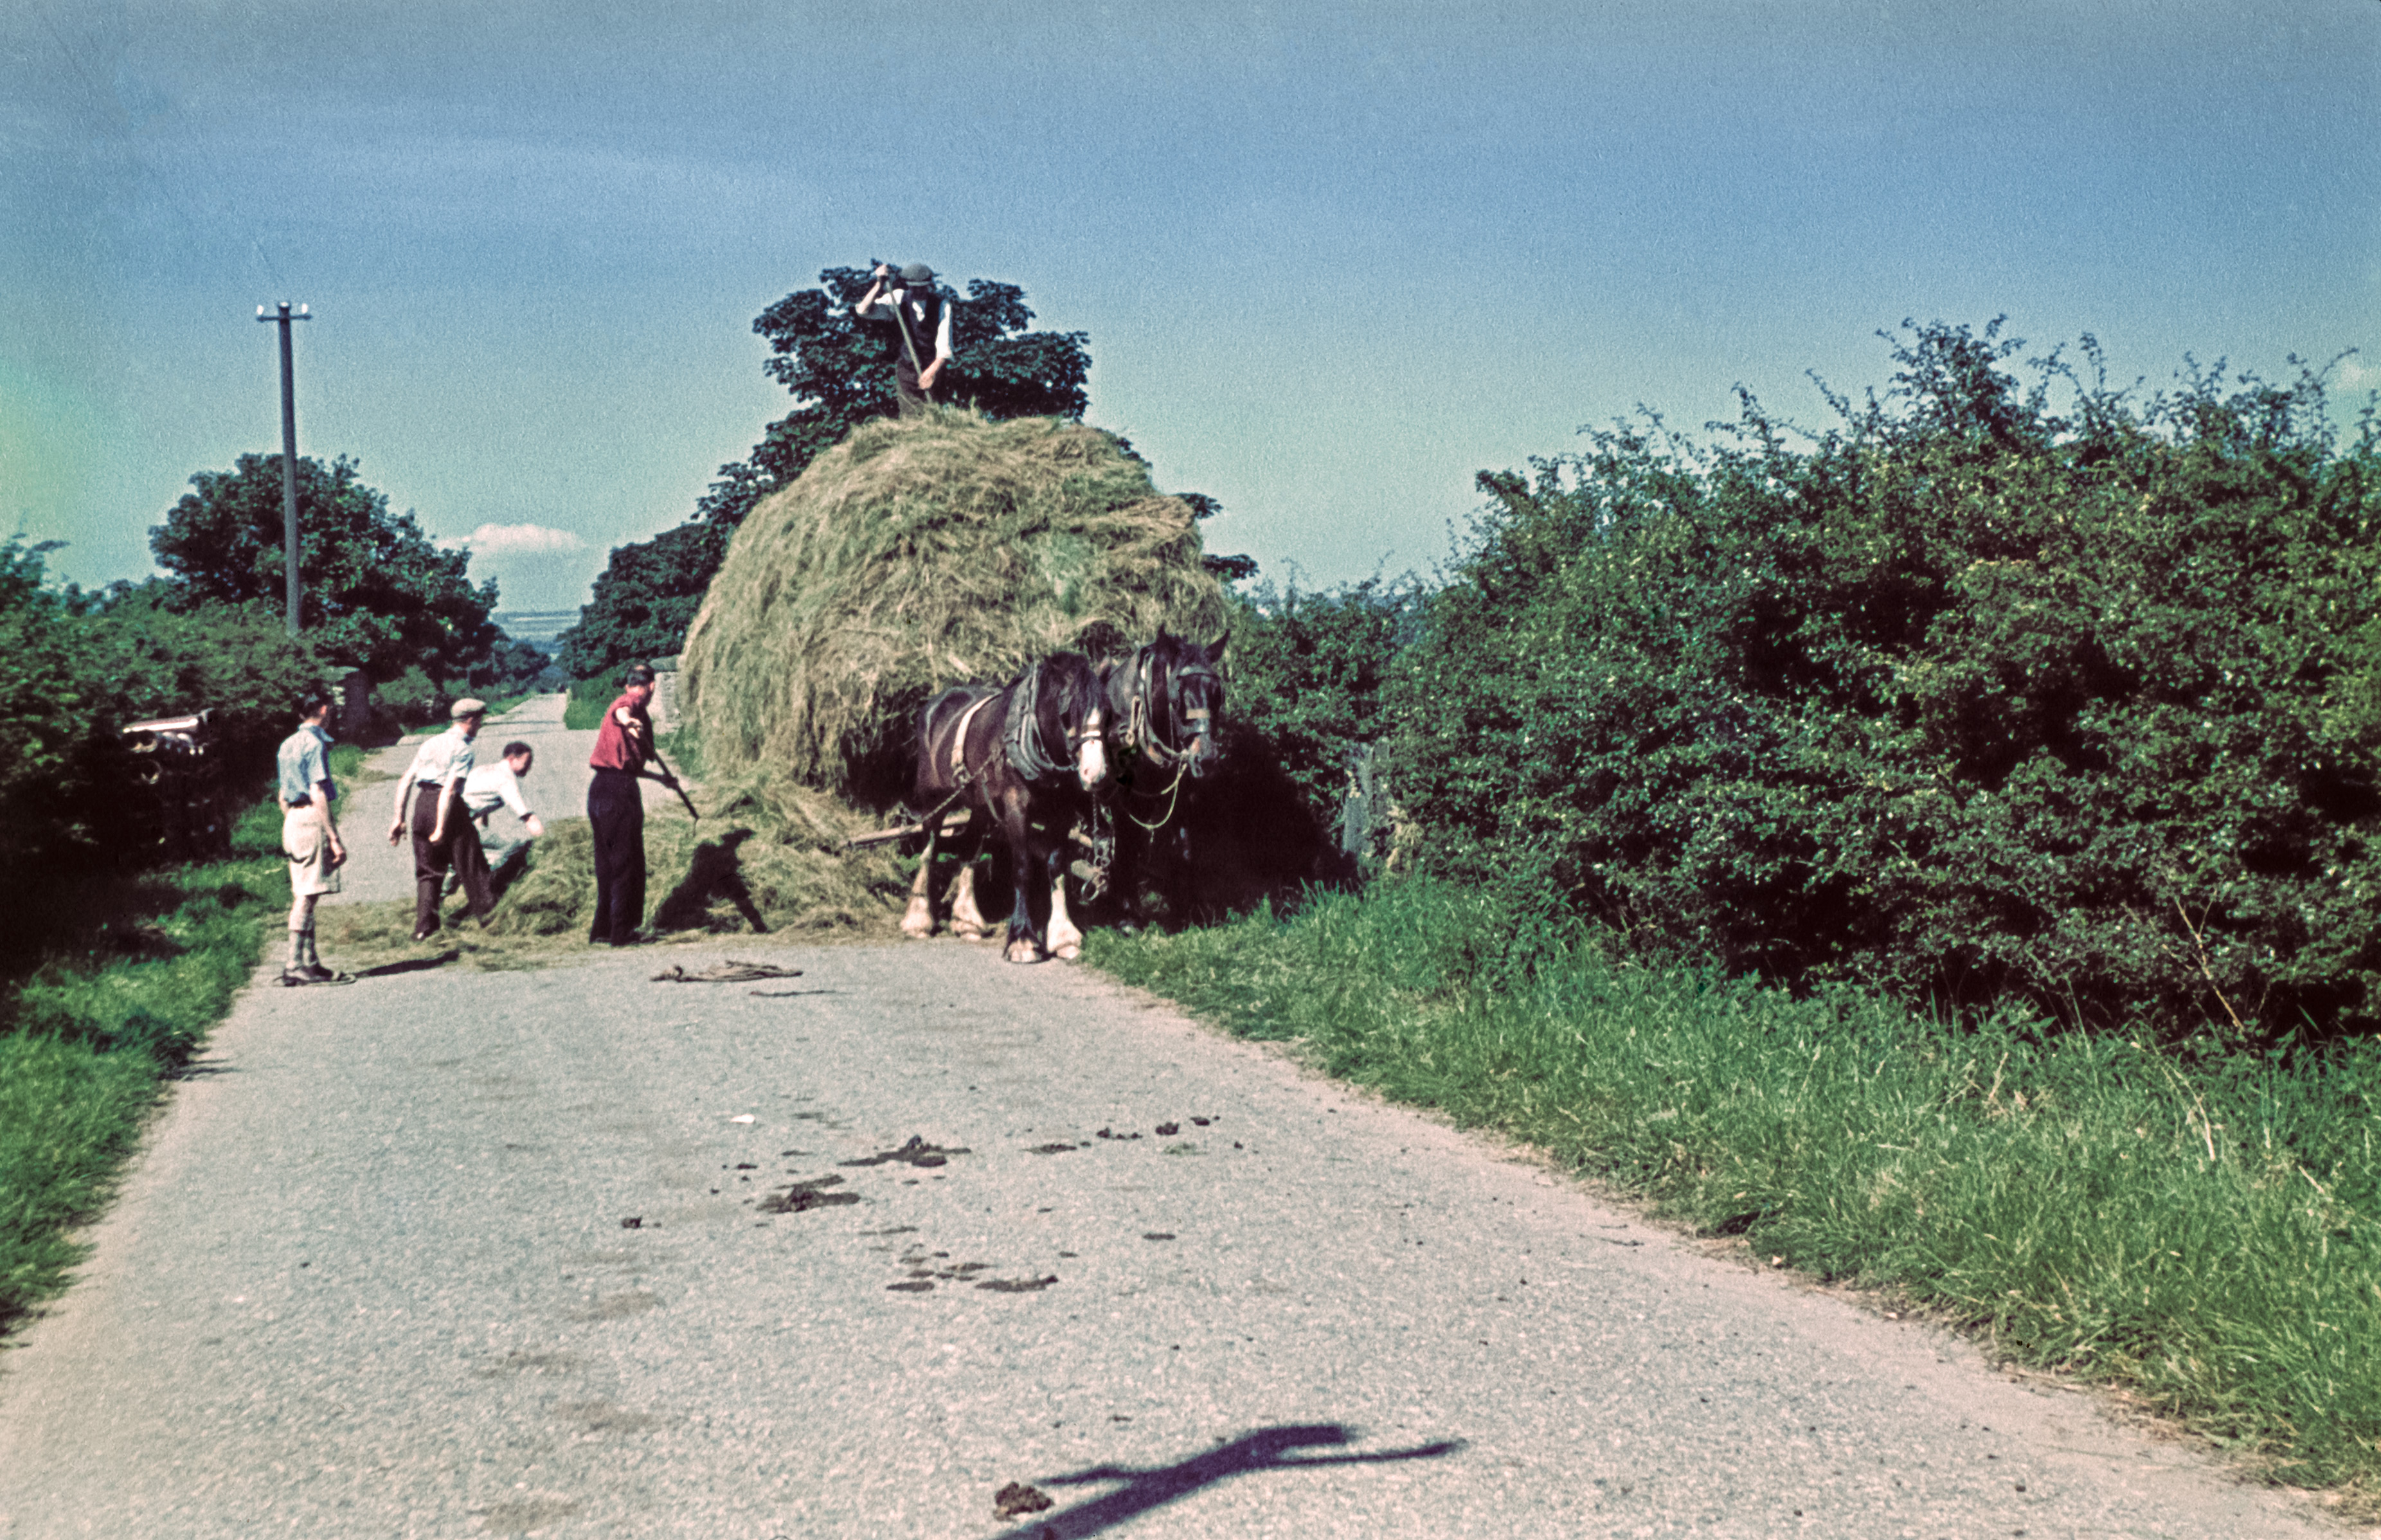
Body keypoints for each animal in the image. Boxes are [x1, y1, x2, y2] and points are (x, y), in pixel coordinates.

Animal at [900, 652, 1104, 962]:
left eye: (1105, 713)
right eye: (1067, 711)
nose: (1096, 773)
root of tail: (935, 705)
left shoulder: (1062, 813)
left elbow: (1056, 867)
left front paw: (1064, 937)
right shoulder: (1015, 807)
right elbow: (1022, 867)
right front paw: (1022, 941)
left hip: (980, 805)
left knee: (969, 849)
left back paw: (968, 922)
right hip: (933, 798)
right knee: (929, 850)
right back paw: (918, 921)